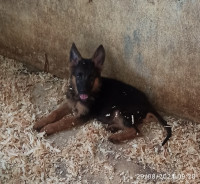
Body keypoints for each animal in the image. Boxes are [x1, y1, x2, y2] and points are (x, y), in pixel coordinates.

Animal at [33, 42, 171, 145]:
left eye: (91, 77)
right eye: (78, 76)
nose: (83, 92)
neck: (78, 96)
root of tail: (148, 104)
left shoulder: (83, 115)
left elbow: (63, 122)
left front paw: (47, 129)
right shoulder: (69, 103)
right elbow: (54, 113)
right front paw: (40, 122)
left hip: (121, 111)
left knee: (136, 130)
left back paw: (115, 137)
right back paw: (112, 128)